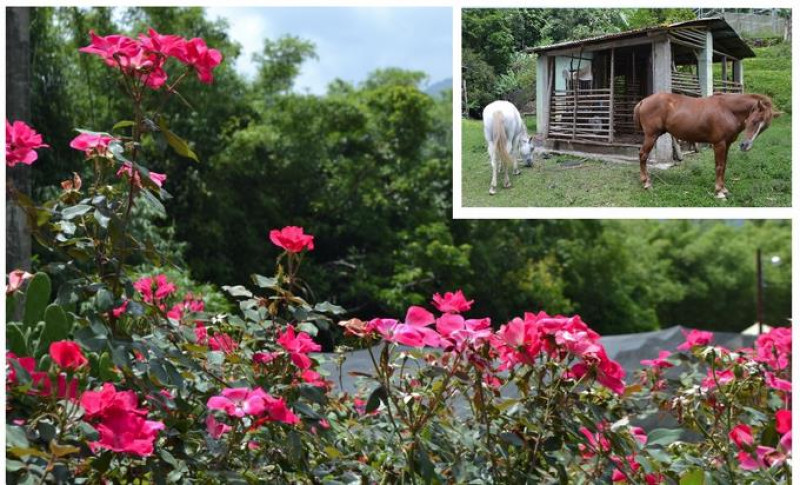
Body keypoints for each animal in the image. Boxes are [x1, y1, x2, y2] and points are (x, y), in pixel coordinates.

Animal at [636, 92, 780, 199]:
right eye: (754, 120)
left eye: (764, 127)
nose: (745, 145)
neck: (728, 110)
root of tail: (643, 101)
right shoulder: (719, 144)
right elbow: (719, 166)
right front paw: (719, 192)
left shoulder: (727, 144)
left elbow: (724, 166)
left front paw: (724, 189)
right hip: (651, 136)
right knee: (643, 155)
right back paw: (646, 184)